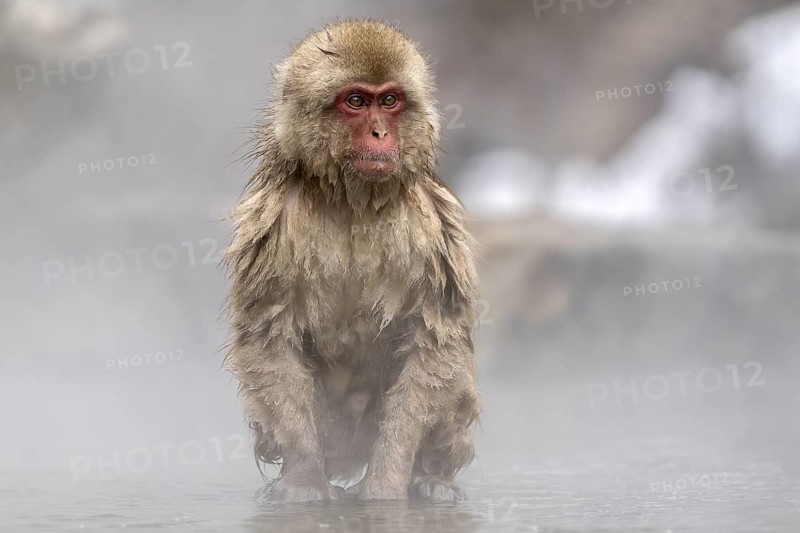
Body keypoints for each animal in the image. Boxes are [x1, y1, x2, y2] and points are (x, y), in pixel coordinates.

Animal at [223, 20, 481, 502]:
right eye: (356, 101)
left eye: (390, 101)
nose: (380, 134)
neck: (353, 199)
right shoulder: (274, 222)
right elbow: (268, 337)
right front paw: (304, 478)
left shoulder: (431, 224)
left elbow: (435, 339)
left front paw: (386, 485)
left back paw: (430, 477)